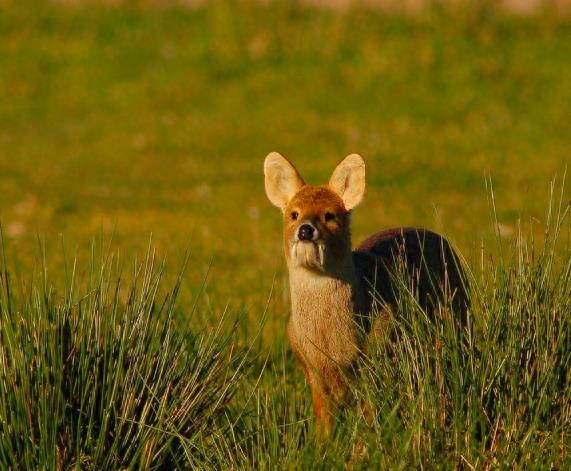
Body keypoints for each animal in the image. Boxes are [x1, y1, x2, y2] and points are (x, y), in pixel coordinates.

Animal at [264, 153, 470, 436]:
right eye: (294, 214)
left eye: (330, 215)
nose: (305, 229)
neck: (332, 345)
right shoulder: (311, 370)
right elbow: (323, 425)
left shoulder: (378, 357)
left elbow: (369, 420)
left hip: (457, 318)